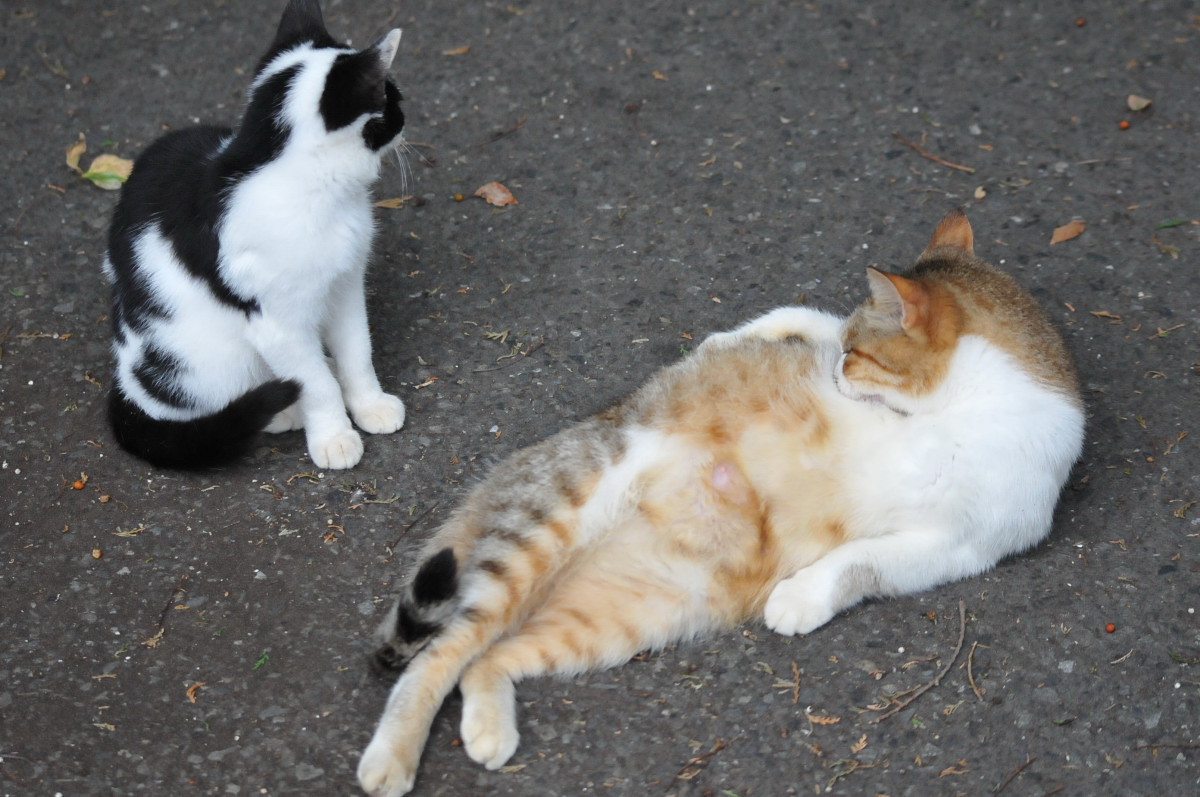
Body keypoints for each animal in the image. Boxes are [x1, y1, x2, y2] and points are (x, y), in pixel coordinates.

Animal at [103, 0, 407, 470]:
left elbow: (358, 350)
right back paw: (282, 411)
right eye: (390, 97)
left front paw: (369, 403)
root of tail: (124, 381)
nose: (406, 116)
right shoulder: (276, 323)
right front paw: (333, 434)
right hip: (202, 356)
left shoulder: (344, 285)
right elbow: (315, 384)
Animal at [356, 210, 1085, 796]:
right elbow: (806, 317)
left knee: (486, 657)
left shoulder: (958, 542)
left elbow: (856, 561)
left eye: (859, 354)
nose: (840, 371)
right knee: (438, 654)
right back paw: (391, 755)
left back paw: (487, 725)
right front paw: (743, 336)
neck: (968, 408)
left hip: (622, 617)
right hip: (547, 530)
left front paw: (801, 595)